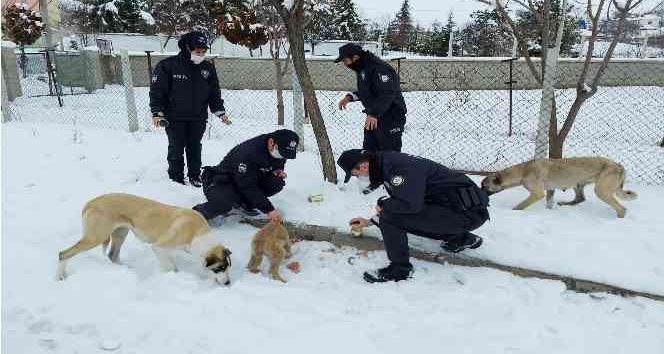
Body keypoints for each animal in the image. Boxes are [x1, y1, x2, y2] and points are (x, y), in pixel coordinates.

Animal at [482, 156, 640, 217]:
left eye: (484, 185)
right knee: (580, 199)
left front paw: (513, 211)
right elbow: (549, 200)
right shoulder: (550, 190)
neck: (523, 170)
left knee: (621, 209)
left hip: (601, 191)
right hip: (579, 184)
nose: (479, 190)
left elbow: (520, 206)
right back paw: (565, 204)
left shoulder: (537, 194)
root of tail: (619, 165)